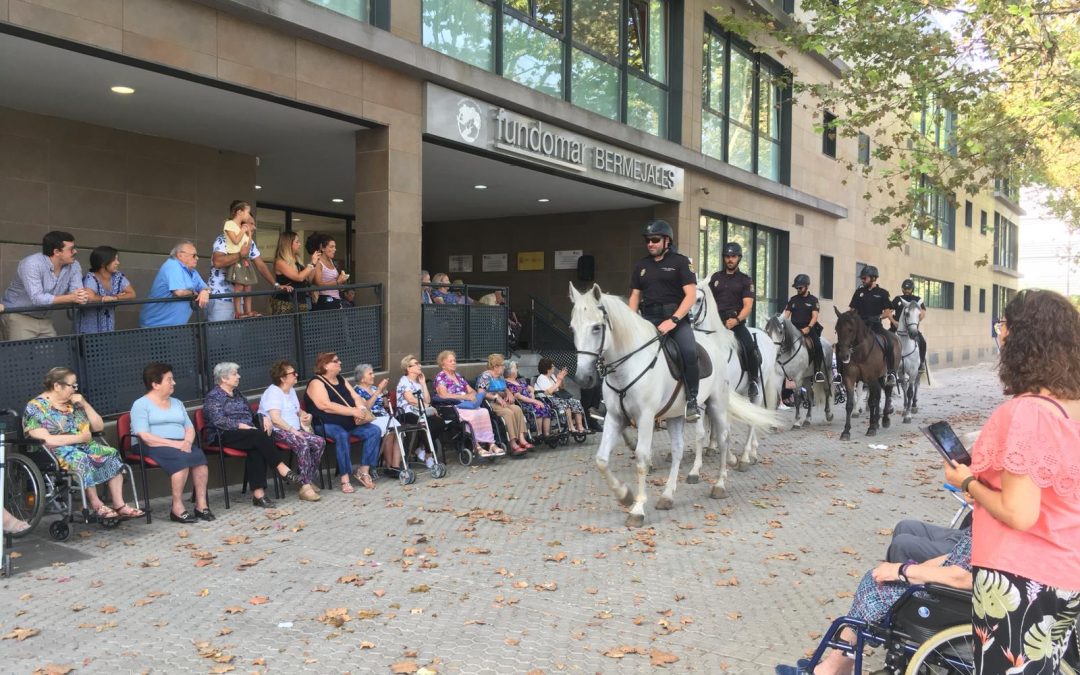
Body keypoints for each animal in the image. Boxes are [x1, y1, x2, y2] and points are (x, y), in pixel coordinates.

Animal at [695, 285, 781, 468]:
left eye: (698, 299)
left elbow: (725, 425)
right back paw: (753, 451)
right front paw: (711, 448)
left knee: (753, 418)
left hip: (757, 390)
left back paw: (746, 456)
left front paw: (729, 457)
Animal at [829, 308, 898, 440]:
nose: (844, 355)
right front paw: (846, 431)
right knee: (878, 396)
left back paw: (885, 420)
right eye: (836, 329)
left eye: (850, 329)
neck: (861, 353)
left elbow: (871, 402)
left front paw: (871, 428)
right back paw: (877, 421)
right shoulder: (849, 379)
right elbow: (850, 404)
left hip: (886, 376)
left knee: (887, 392)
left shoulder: (871, 379)